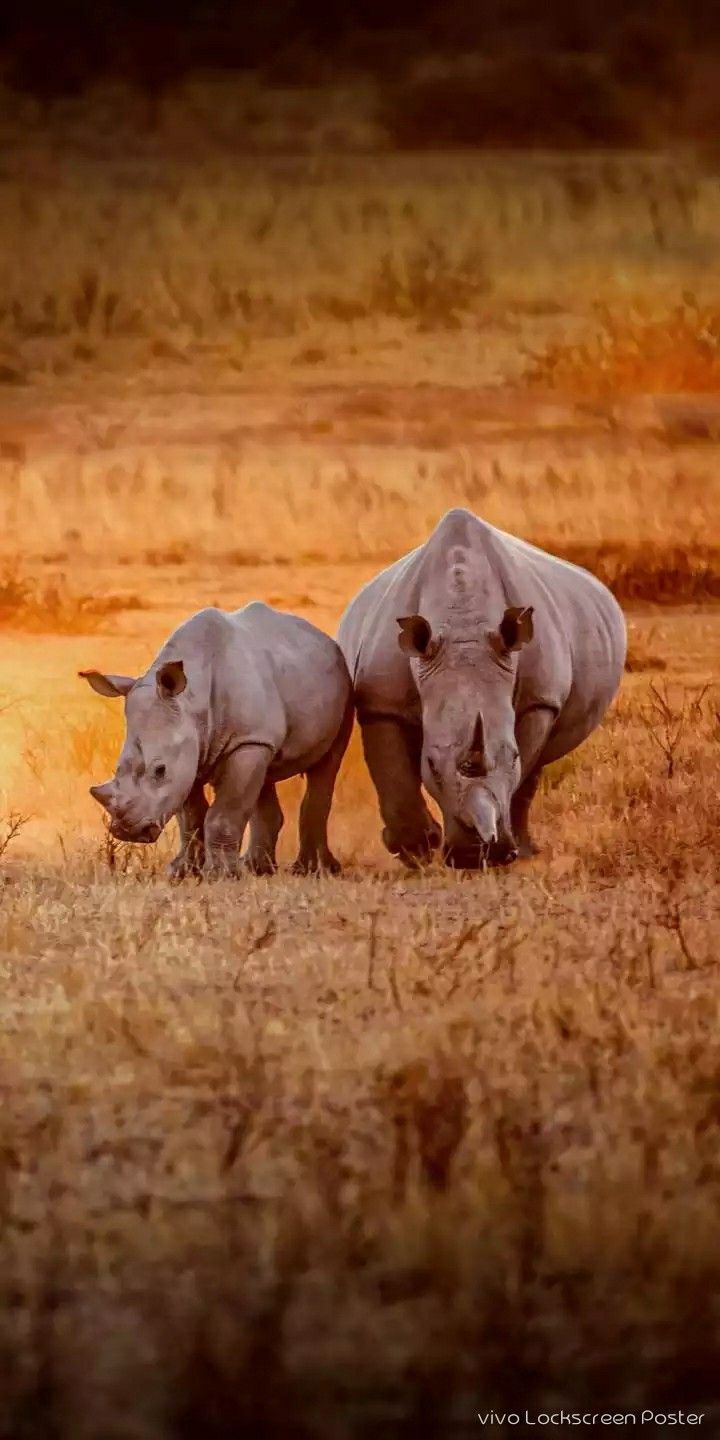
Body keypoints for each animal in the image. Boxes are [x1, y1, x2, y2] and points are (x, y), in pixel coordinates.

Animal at [81, 603, 353, 877]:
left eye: (160, 770)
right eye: (117, 768)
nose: (128, 832)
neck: (191, 702)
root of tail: (325, 639)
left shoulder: (244, 742)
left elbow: (223, 813)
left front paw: (221, 875)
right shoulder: (192, 751)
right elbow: (190, 817)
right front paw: (182, 872)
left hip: (341, 682)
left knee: (327, 764)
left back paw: (312, 870)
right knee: (264, 774)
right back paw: (258, 868)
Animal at [338, 508, 626, 867]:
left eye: (512, 756)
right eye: (431, 764)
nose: (475, 854)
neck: (463, 625)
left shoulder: (539, 699)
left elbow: (523, 767)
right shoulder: (381, 702)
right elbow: (391, 770)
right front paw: (415, 850)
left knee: (538, 765)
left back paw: (525, 851)